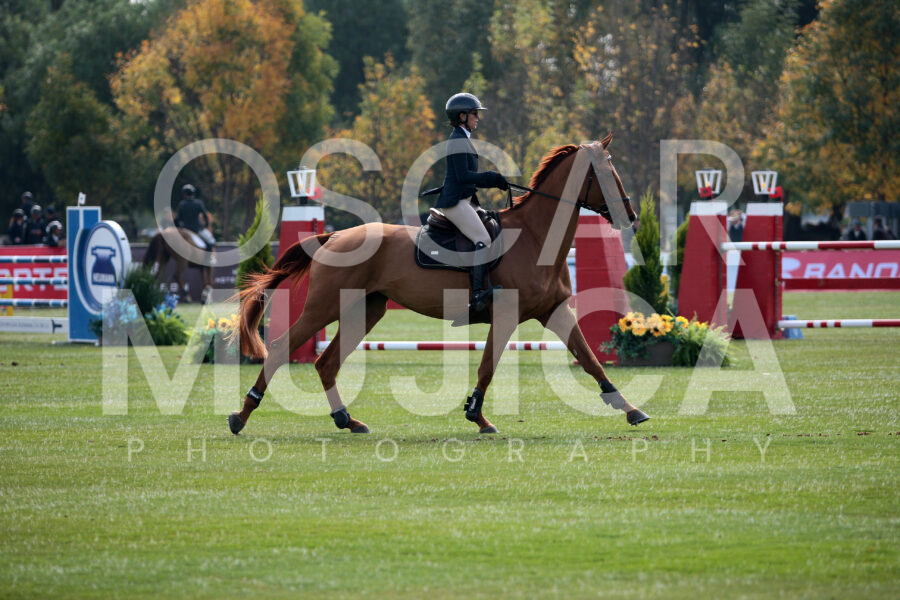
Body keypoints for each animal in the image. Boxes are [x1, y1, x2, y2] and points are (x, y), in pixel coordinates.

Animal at [229, 134, 648, 435]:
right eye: (606, 175)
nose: (630, 216)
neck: (535, 236)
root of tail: (333, 236)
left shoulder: (554, 311)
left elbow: (590, 360)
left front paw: (629, 408)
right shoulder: (507, 315)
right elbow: (487, 367)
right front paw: (478, 416)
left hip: (365, 310)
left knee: (326, 363)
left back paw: (348, 420)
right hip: (325, 306)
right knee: (281, 349)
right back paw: (241, 415)